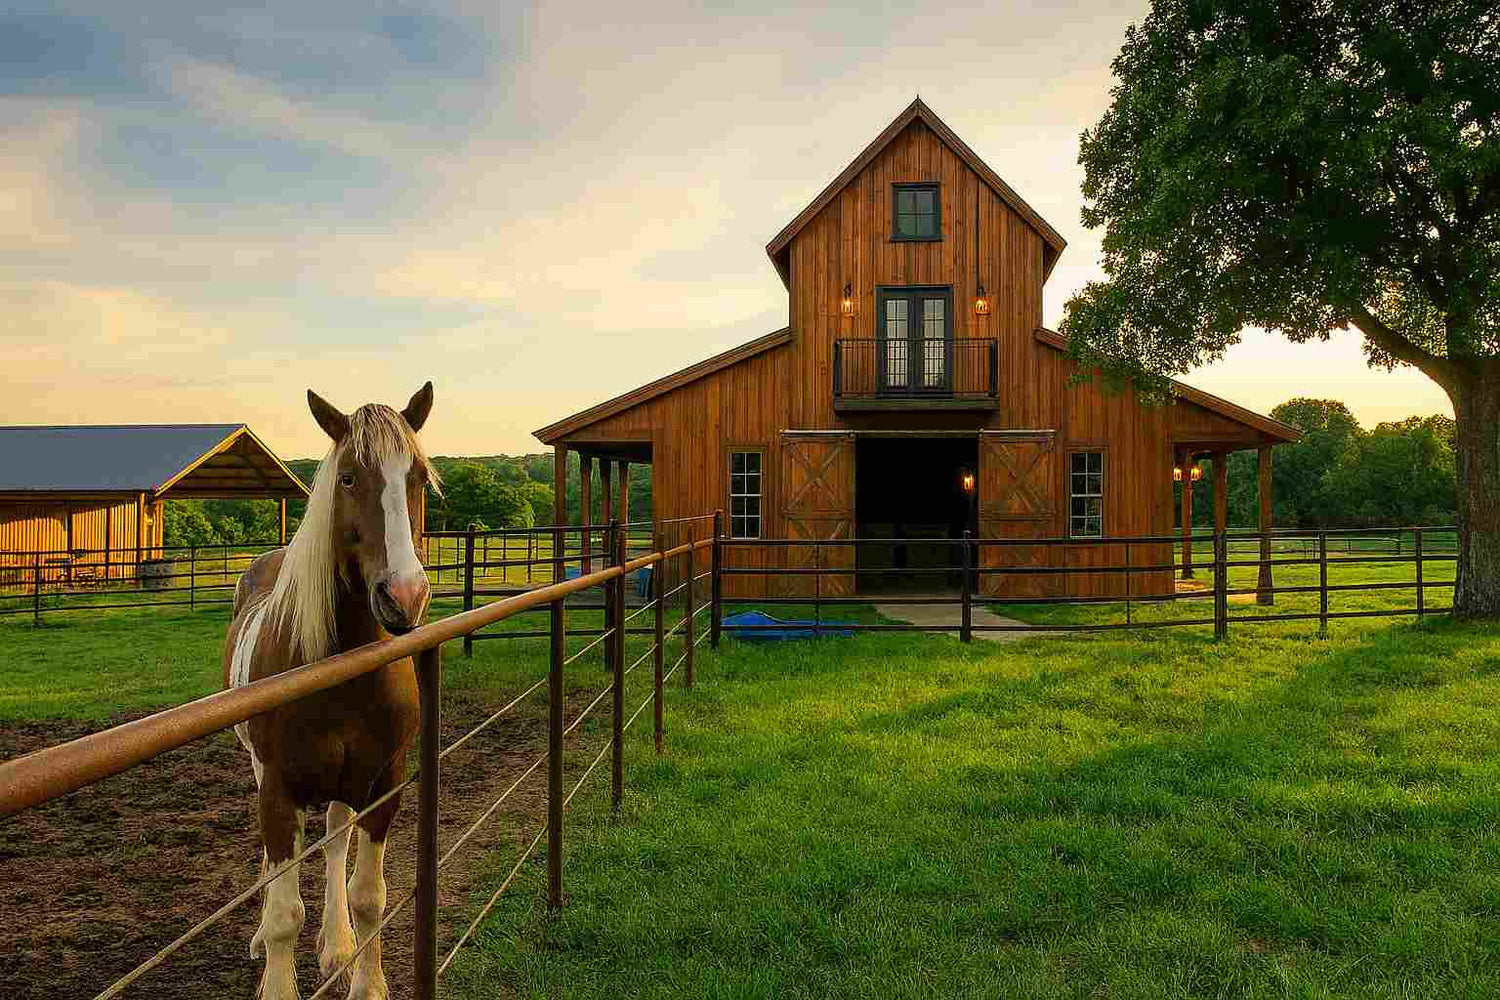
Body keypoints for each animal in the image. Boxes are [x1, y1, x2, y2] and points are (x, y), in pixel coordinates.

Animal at [224, 383, 438, 1000]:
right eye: (347, 478)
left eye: (418, 477)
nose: (404, 596)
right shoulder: (277, 791)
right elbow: (283, 914)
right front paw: (275, 979)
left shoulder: (383, 783)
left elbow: (369, 897)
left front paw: (365, 981)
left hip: (348, 784)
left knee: (336, 842)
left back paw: (337, 945)